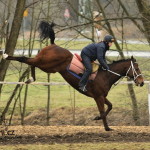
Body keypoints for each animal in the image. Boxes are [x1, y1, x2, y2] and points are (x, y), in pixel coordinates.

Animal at [1, 21, 144, 131]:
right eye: (137, 68)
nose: (142, 82)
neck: (106, 75)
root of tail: (53, 44)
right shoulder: (98, 97)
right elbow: (103, 111)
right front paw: (106, 127)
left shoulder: (102, 96)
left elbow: (110, 106)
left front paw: (101, 121)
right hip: (46, 63)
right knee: (25, 59)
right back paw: (6, 55)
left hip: (47, 66)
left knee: (31, 62)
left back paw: (30, 79)